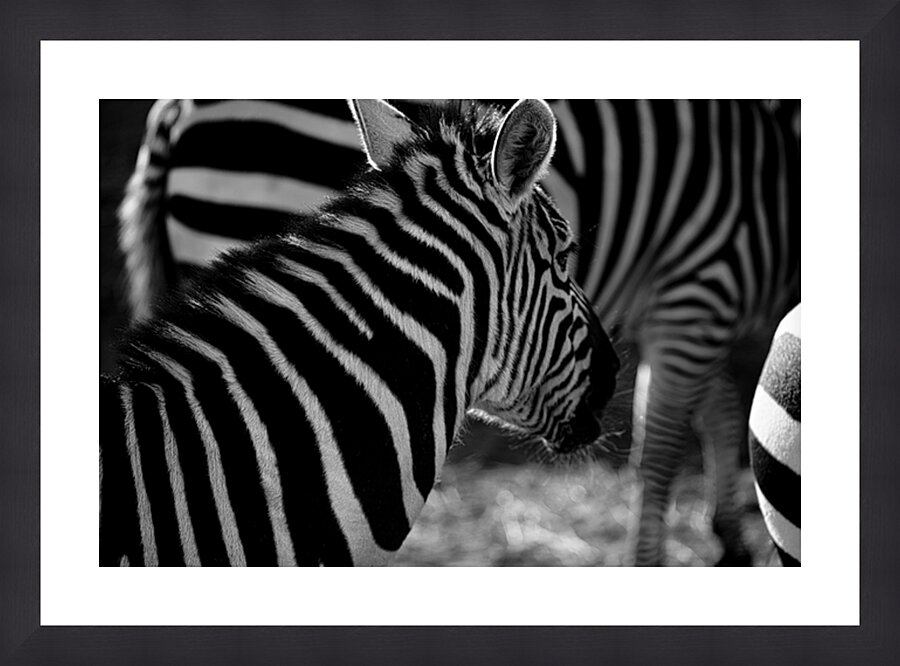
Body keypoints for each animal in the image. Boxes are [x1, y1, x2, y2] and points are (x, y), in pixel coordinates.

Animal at [114, 99, 800, 566]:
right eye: (566, 257)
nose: (611, 374)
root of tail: (174, 112)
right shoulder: (701, 281)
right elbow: (663, 448)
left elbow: (720, 405)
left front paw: (732, 537)